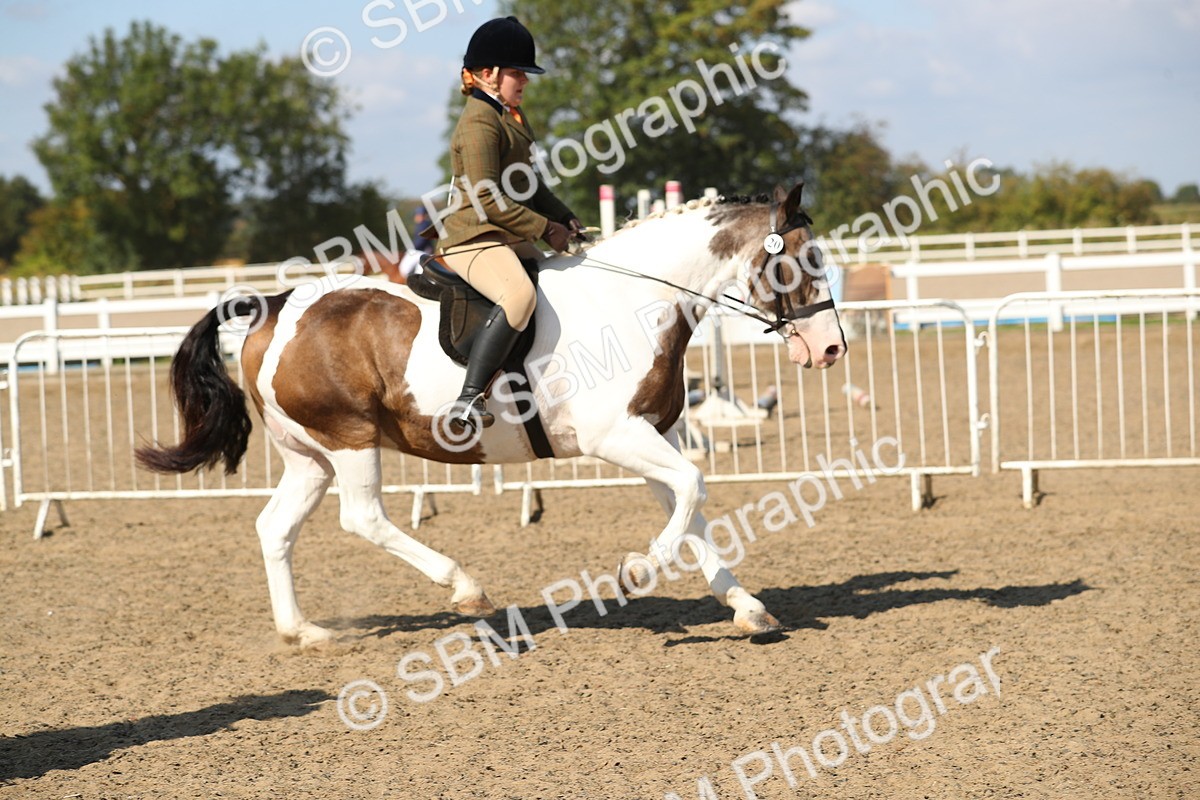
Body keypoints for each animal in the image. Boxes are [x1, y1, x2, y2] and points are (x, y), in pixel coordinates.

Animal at [135, 183, 847, 647]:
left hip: (308, 455)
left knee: (275, 528)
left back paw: (303, 631)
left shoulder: (652, 434)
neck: (633, 300)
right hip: (348, 438)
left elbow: (690, 504)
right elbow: (693, 489)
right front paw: (638, 570)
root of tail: (277, 306)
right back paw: (464, 589)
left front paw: (746, 607)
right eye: (804, 260)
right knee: (363, 517)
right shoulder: (614, 436)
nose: (831, 349)